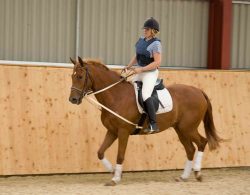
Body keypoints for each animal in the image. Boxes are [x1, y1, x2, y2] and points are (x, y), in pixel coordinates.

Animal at [68, 56, 221, 186]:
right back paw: (183, 177)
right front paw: (113, 171)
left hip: (188, 128)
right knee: (190, 149)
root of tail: (198, 91)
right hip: (180, 129)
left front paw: (115, 178)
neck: (116, 97)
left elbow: (120, 155)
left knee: (202, 142)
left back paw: (198, 173)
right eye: (72, 76)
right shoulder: (112, 131)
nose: (72, 99)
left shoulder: (123, 132)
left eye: (80, 76)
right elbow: (100, 152)